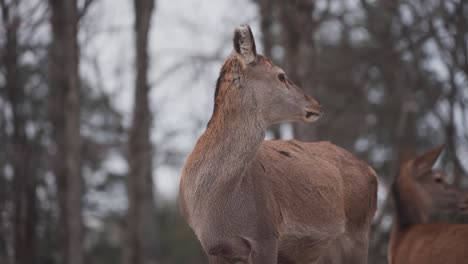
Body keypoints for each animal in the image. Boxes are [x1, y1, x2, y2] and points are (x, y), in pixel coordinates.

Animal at [177, 24, 378, 264]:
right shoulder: (215, 248)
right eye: (282, 75)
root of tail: (372, 171)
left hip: (358, 232)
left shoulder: (266, 235)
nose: (316, 104)